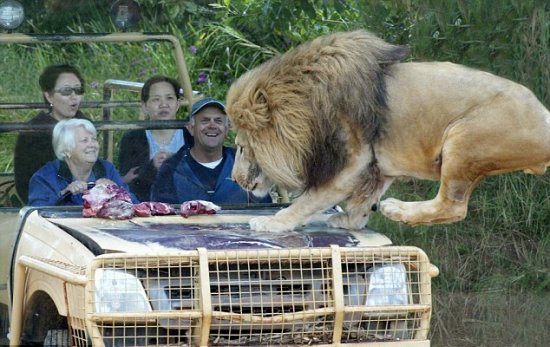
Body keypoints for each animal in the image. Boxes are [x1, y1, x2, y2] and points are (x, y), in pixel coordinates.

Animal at [225, 29, 550, 231]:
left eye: (241, 147)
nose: (235, 179)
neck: (305, 107)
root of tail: (544, 115)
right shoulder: (376, 164)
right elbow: (362, 200)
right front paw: (350, 222)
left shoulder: (351, 160)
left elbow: (309, 199)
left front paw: (273, 222)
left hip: (464, 139)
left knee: (453, 206)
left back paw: (397, 209)